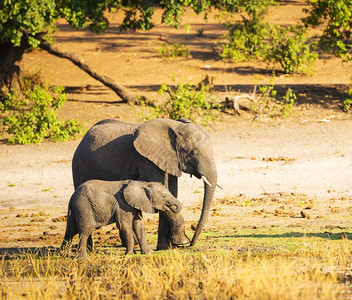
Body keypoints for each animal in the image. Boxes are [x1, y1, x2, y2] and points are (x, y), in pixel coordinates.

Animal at [62, 179, 190, 258]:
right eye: (163, 196)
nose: (172, 206)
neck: (142, 184)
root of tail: (72, 198)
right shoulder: (122, 205)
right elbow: (124, 225)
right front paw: (130, 254)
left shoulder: (135, 204)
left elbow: (139, 225)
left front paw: (148, 252)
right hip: (84, 207)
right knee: (85, 230)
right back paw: (82, 258)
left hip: (76, 209)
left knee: (70, 231)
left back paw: (62, 254)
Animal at [72, 117, 217, 248]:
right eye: (194, 153)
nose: (192, 244)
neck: (175, 126)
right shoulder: (146, 159)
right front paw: (182, 242)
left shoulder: (169, 159)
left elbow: (170, 193)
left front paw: (165, 248)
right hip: (80, 166)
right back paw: (90, 250)